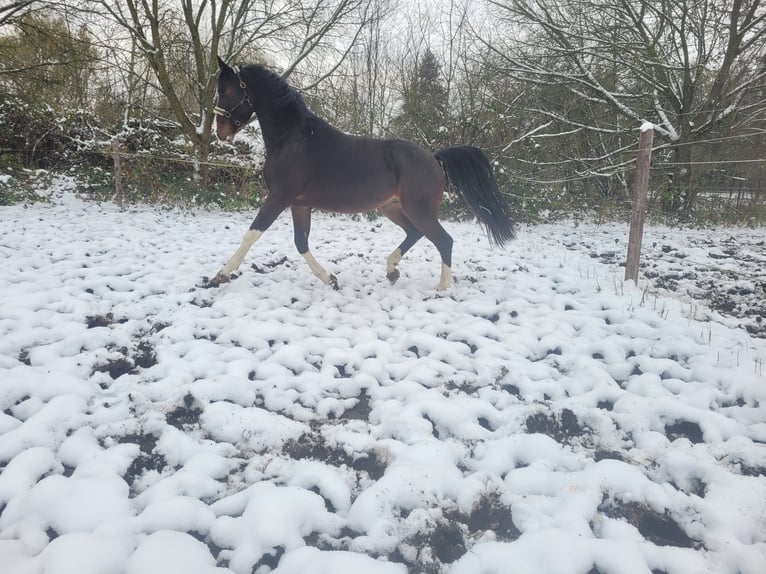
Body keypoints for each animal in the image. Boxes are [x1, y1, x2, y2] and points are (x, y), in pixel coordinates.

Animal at [212, 57, 516, 292]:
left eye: (225, 90)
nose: (220, 133)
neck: (292, 137)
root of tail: (434, 159)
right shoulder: (299, 204)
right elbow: (301, 243)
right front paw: (330, 279)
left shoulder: (279, 197)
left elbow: (252, 234)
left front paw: (220, 276)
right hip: (391, 208)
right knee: (415, 234)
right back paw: (392, 271)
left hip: (419, 210)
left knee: (443, 240)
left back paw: (441, 288)